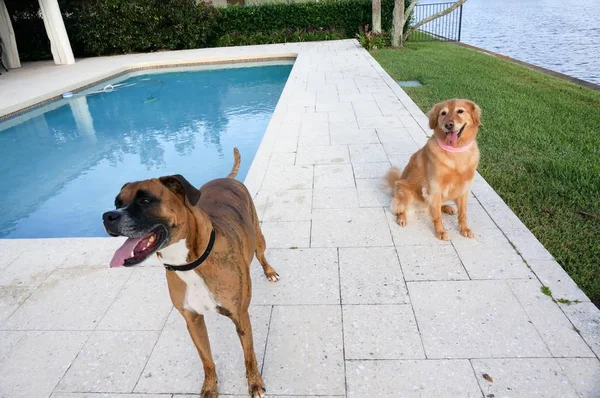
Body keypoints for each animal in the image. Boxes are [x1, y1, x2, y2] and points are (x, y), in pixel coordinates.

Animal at [102, 149, 278, 398]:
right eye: (117, 203)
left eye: (145, 200)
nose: (108, 216)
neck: (190, 262)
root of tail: (227, 178)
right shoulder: (193, 321)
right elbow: (206, 360)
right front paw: (210, 386)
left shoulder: (241, 317)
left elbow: (249, 355)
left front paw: (254, 383)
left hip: (258, 237)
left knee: (261, 254)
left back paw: (270, 271)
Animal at [384, 98, 482, 239]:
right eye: (443, 113)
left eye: (460, 111)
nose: (449, 125)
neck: (455, 152)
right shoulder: (435, 187)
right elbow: (437, 216)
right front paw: (440, 231)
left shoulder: (464, 188)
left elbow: (463, 213)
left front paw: (464, 228)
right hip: (405, 189)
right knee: (401, 208)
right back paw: (402, 218)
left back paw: (448, 208)